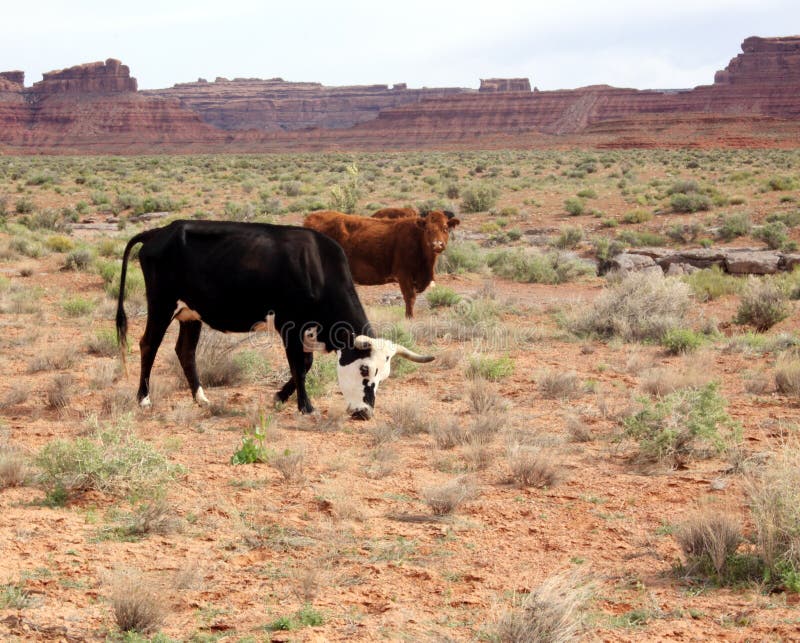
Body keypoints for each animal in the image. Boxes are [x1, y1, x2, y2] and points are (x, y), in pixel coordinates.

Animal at [114, 221, 432, 420]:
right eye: (364, 369)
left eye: (384, 376)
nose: (365, 413)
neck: (317, 266)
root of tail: (159, 231)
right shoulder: (288, 326)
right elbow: (299, 365)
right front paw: (306, 407)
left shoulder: (306, 331)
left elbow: (305, 364)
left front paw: (280, 397)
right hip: (161, 305)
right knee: (148, 345)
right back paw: (143, 398)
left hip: (191, 314)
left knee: (185, 350)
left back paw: (200, 398)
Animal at [304, 210, 460, 318]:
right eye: (428, 229)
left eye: (445, 228)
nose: (437, 244)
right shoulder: (404, 274)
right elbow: (409, 297)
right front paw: (409, 317)